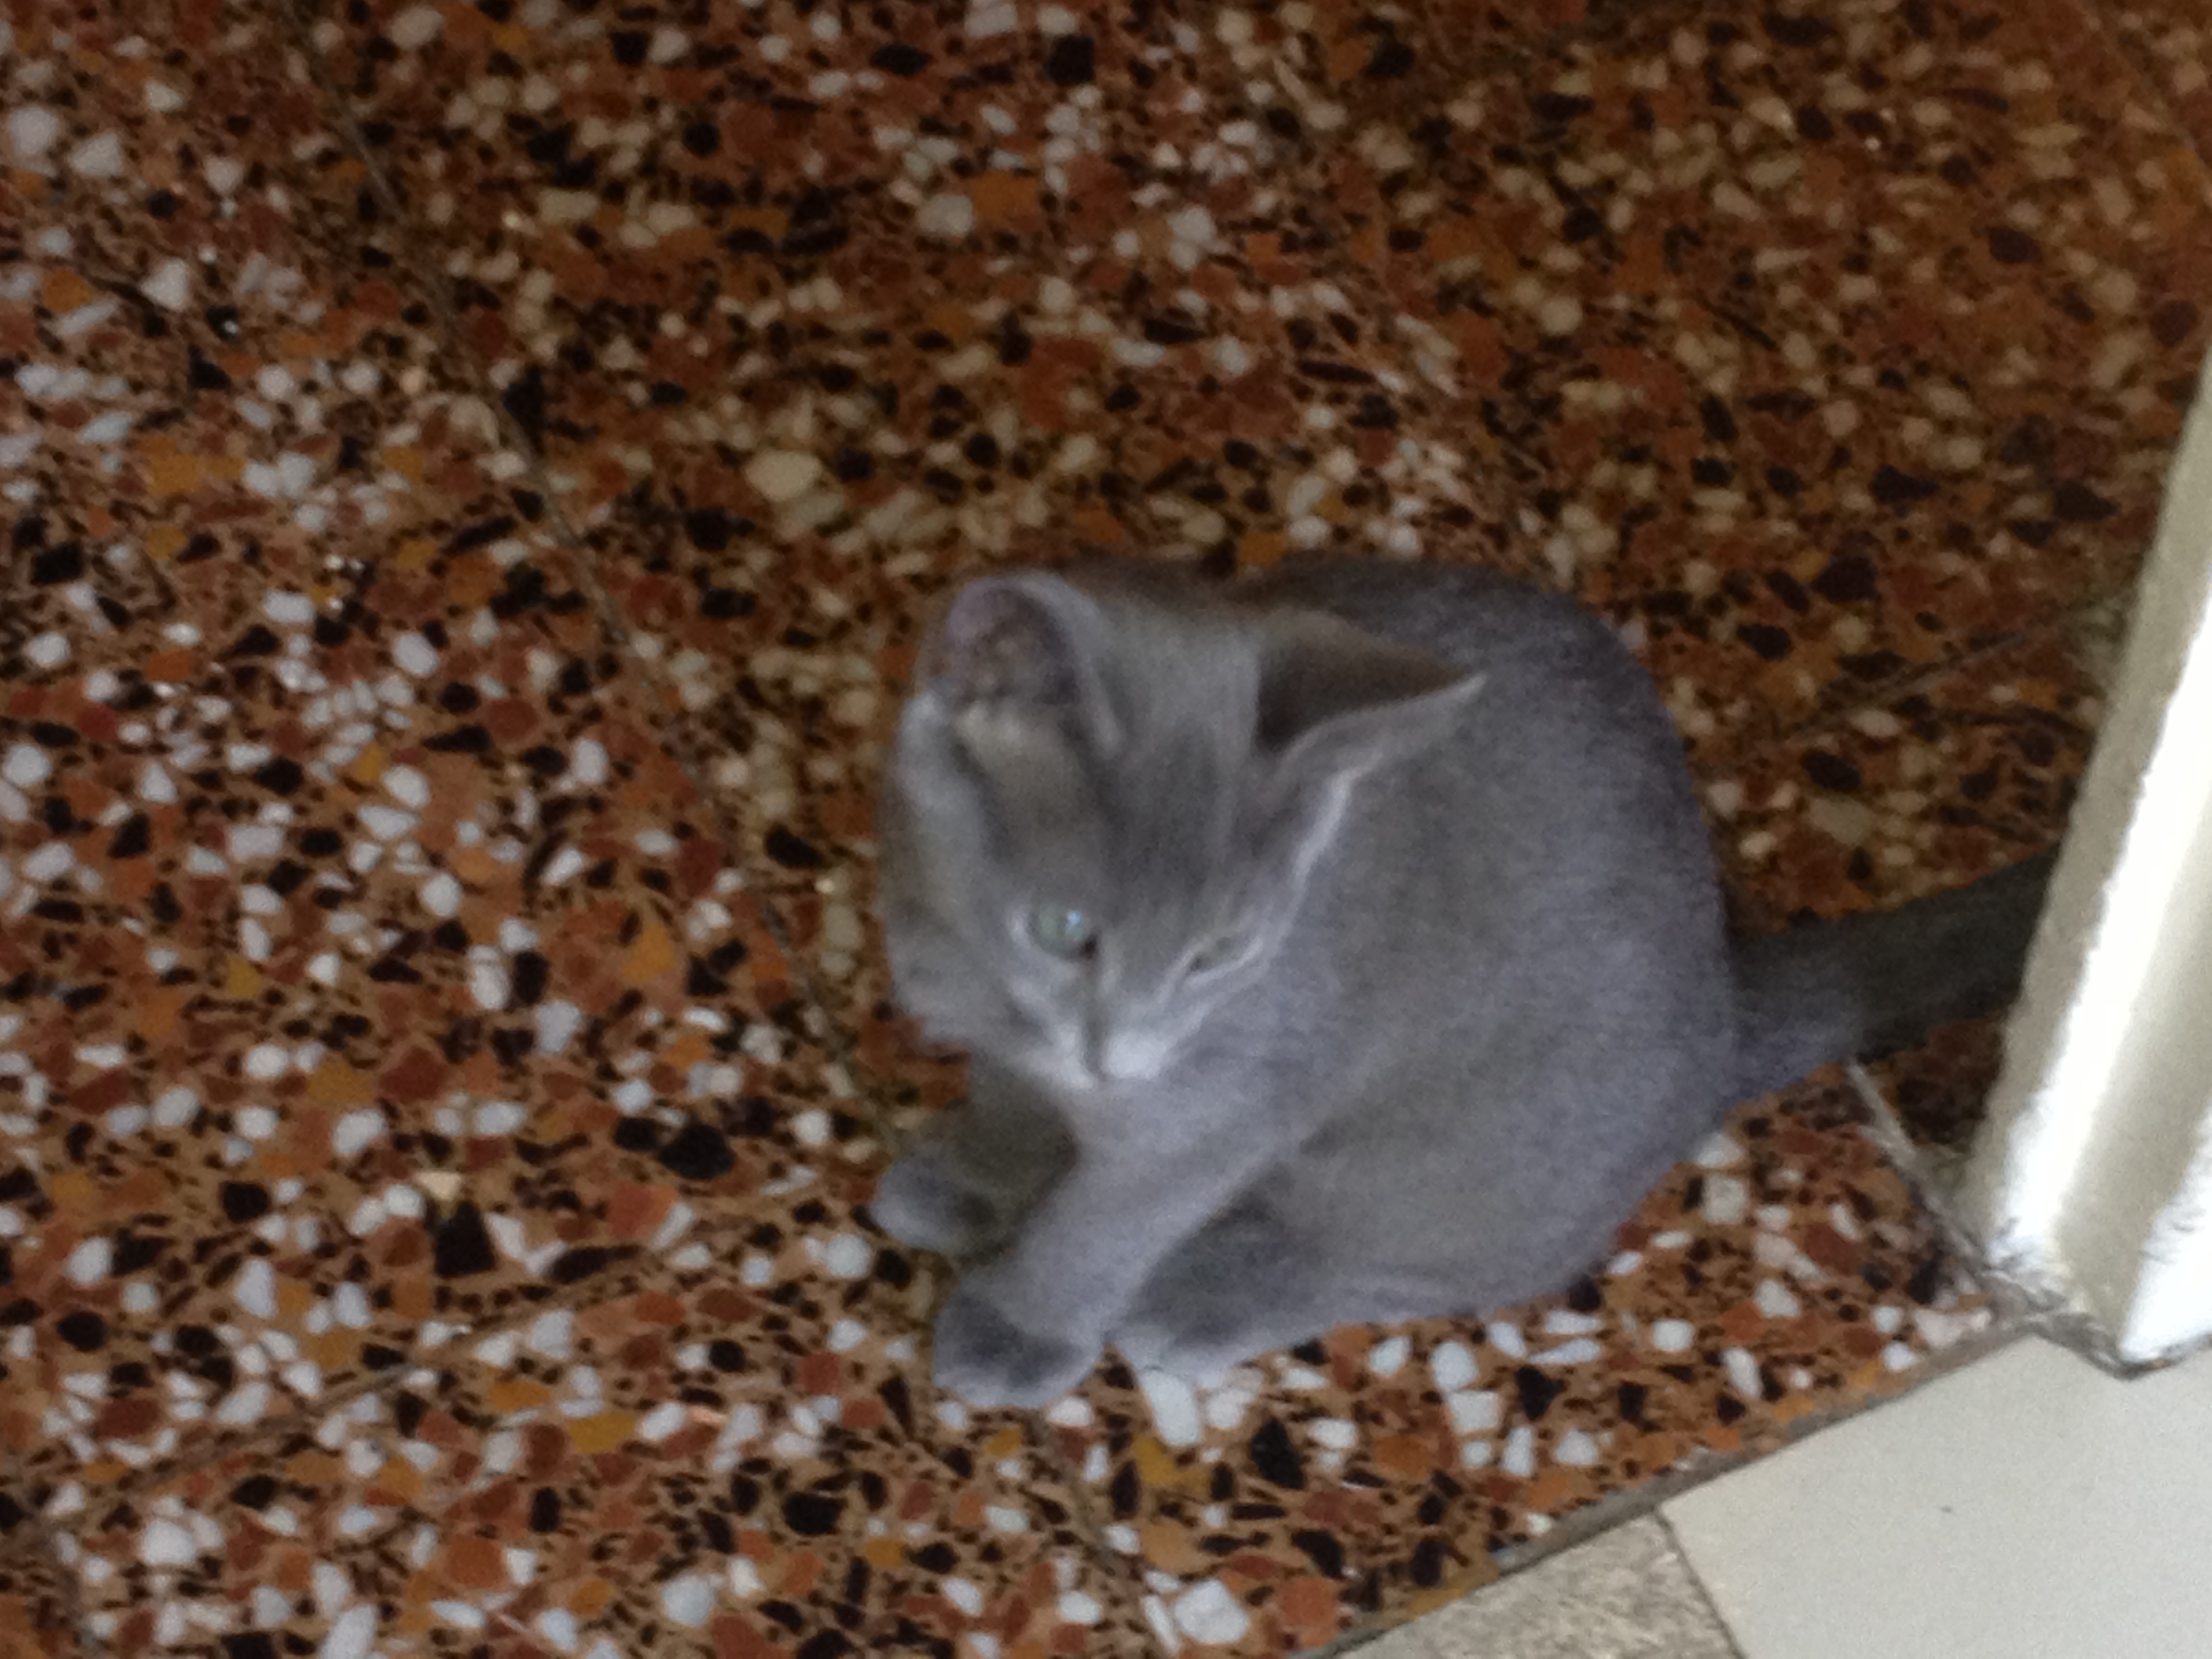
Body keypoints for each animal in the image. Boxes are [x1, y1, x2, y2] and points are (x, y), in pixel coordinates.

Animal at [870, 557, 2053, 1408]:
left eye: (1224, 952)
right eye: (1064, 930)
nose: (1121, 1054)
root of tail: (1725, 1008)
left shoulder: (1218, 1109)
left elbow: (1104, 1222)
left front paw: (1019, 1323)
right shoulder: (1002, 1027)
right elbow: (1010, 1104)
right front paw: (973, 1179)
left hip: (1459, 1166)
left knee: (1441, 1262)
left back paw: (1215, 1290)